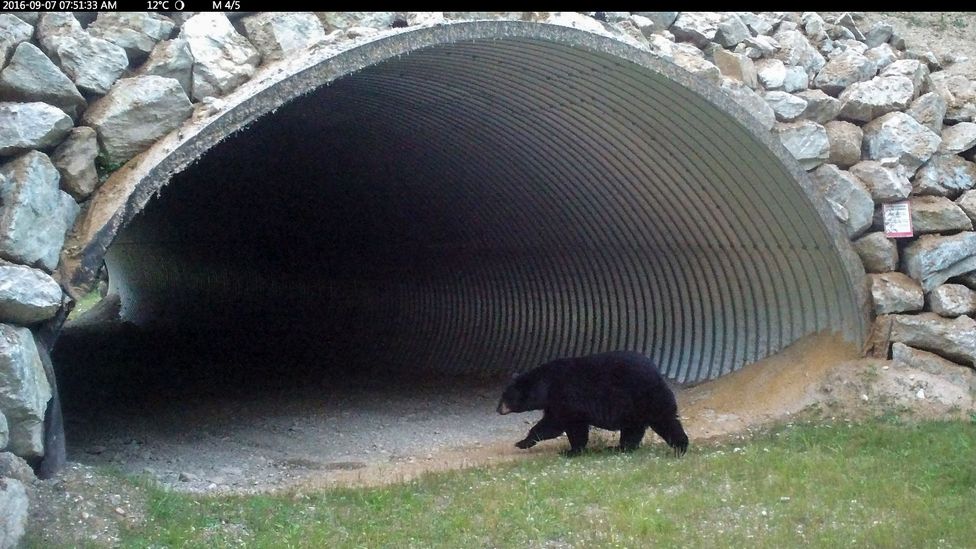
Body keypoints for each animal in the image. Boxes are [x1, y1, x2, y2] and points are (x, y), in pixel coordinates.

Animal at [500, 348, 692, 456]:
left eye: (506, 397)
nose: (498, 409)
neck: (546, 385)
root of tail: (658, 374)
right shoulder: (557, 403)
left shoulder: (567, 398)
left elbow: (559, 425)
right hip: (634, 410)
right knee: (634, 430)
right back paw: (619, 448)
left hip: (646, 398)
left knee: (665, 421)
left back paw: (680, 447)